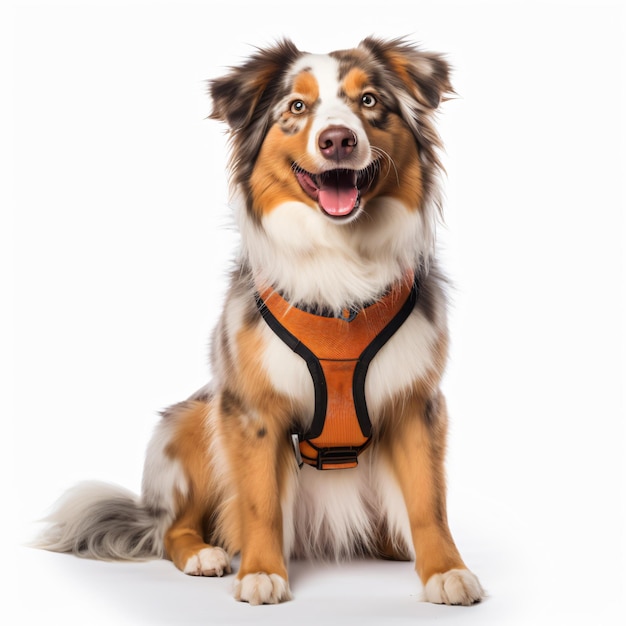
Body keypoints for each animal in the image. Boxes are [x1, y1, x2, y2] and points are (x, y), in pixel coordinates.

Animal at [37, 36, 482, 604]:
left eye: (369, 101)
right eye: (296, 106)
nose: (338, 140)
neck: (342, 264)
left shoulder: (415, 403)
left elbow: (429, 500)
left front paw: (445, 570)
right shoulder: (250, 409)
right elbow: (259, 501)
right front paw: (262, 572)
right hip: (192, 420)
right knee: (174, 526)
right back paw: (205, 554)